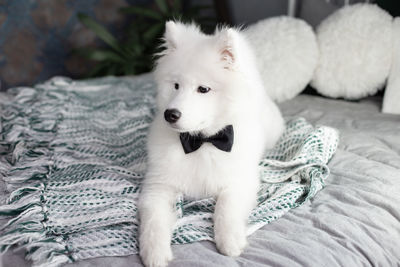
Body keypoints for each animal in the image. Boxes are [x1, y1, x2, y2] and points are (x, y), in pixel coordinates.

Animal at [138, 21, 284, 267]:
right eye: (176, 85)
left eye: (203, 89)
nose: (170, 114)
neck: (202, 142)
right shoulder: (158, 186)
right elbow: (153, 221)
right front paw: (154, 253)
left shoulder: (240, 182)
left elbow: (226, 207)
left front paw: (230, 241)